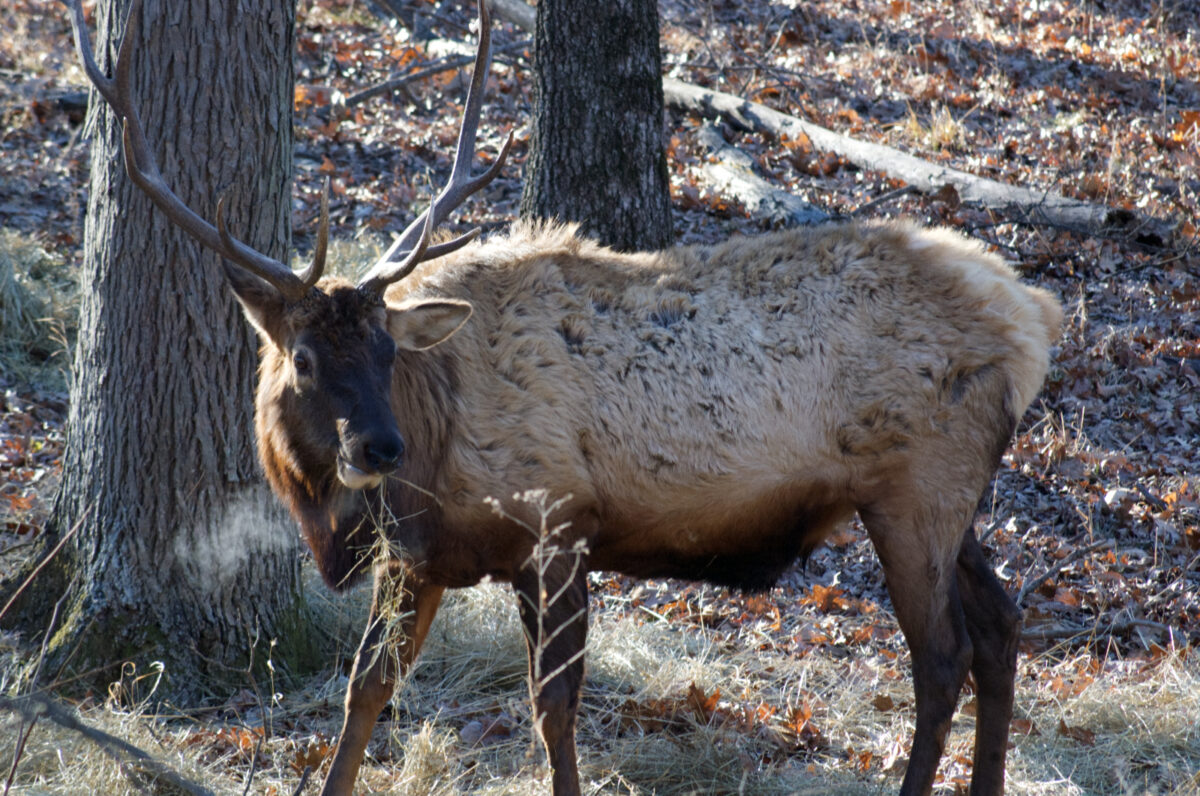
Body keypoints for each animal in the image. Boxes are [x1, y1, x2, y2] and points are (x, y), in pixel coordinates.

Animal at [68, 1, 1060, 796]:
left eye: (386, 350)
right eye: (307, 358)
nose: (378, 447)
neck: (430, 451)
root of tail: (1033, 322)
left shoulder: (558, 523)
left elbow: (552, 709)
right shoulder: (425, 556)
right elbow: (367, 689)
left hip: (916, 488)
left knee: (943, 656)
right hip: (946, 498)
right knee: (1002, 625)